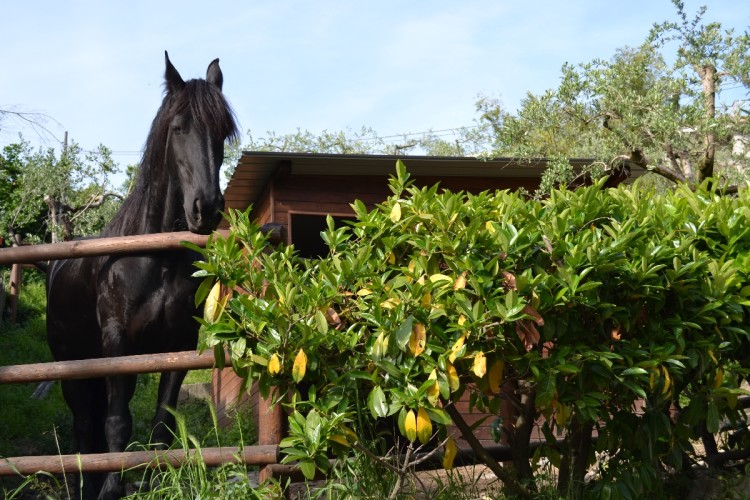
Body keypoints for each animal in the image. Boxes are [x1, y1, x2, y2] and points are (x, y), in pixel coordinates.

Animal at [46, 51, 238, 500]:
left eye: (223, 133)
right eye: (179, 127)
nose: (206, 209)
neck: (154, 259)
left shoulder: (178, 344)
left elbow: (162, 427)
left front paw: (156, 482)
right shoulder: (118, 346)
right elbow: (117, 424)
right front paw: (111, 488)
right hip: (71, 367)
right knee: (85, 428)